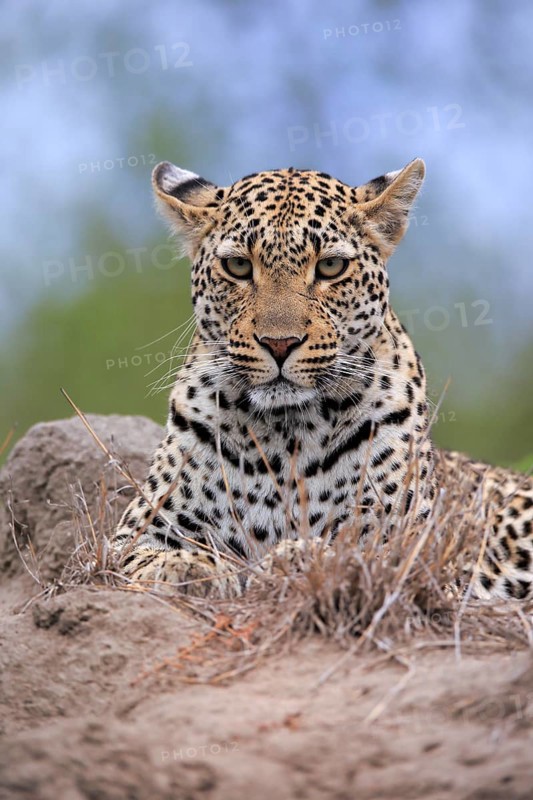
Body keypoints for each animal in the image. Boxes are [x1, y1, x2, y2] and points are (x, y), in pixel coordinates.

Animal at [113, 158, 533, 601]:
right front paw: (185, 566)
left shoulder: (410, 547)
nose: (279, 343)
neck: (285, 434)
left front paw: (298, 558)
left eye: (331, 266)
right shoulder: (143, 525)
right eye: (238, 266)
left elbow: (356, 554)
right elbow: (148, 554)